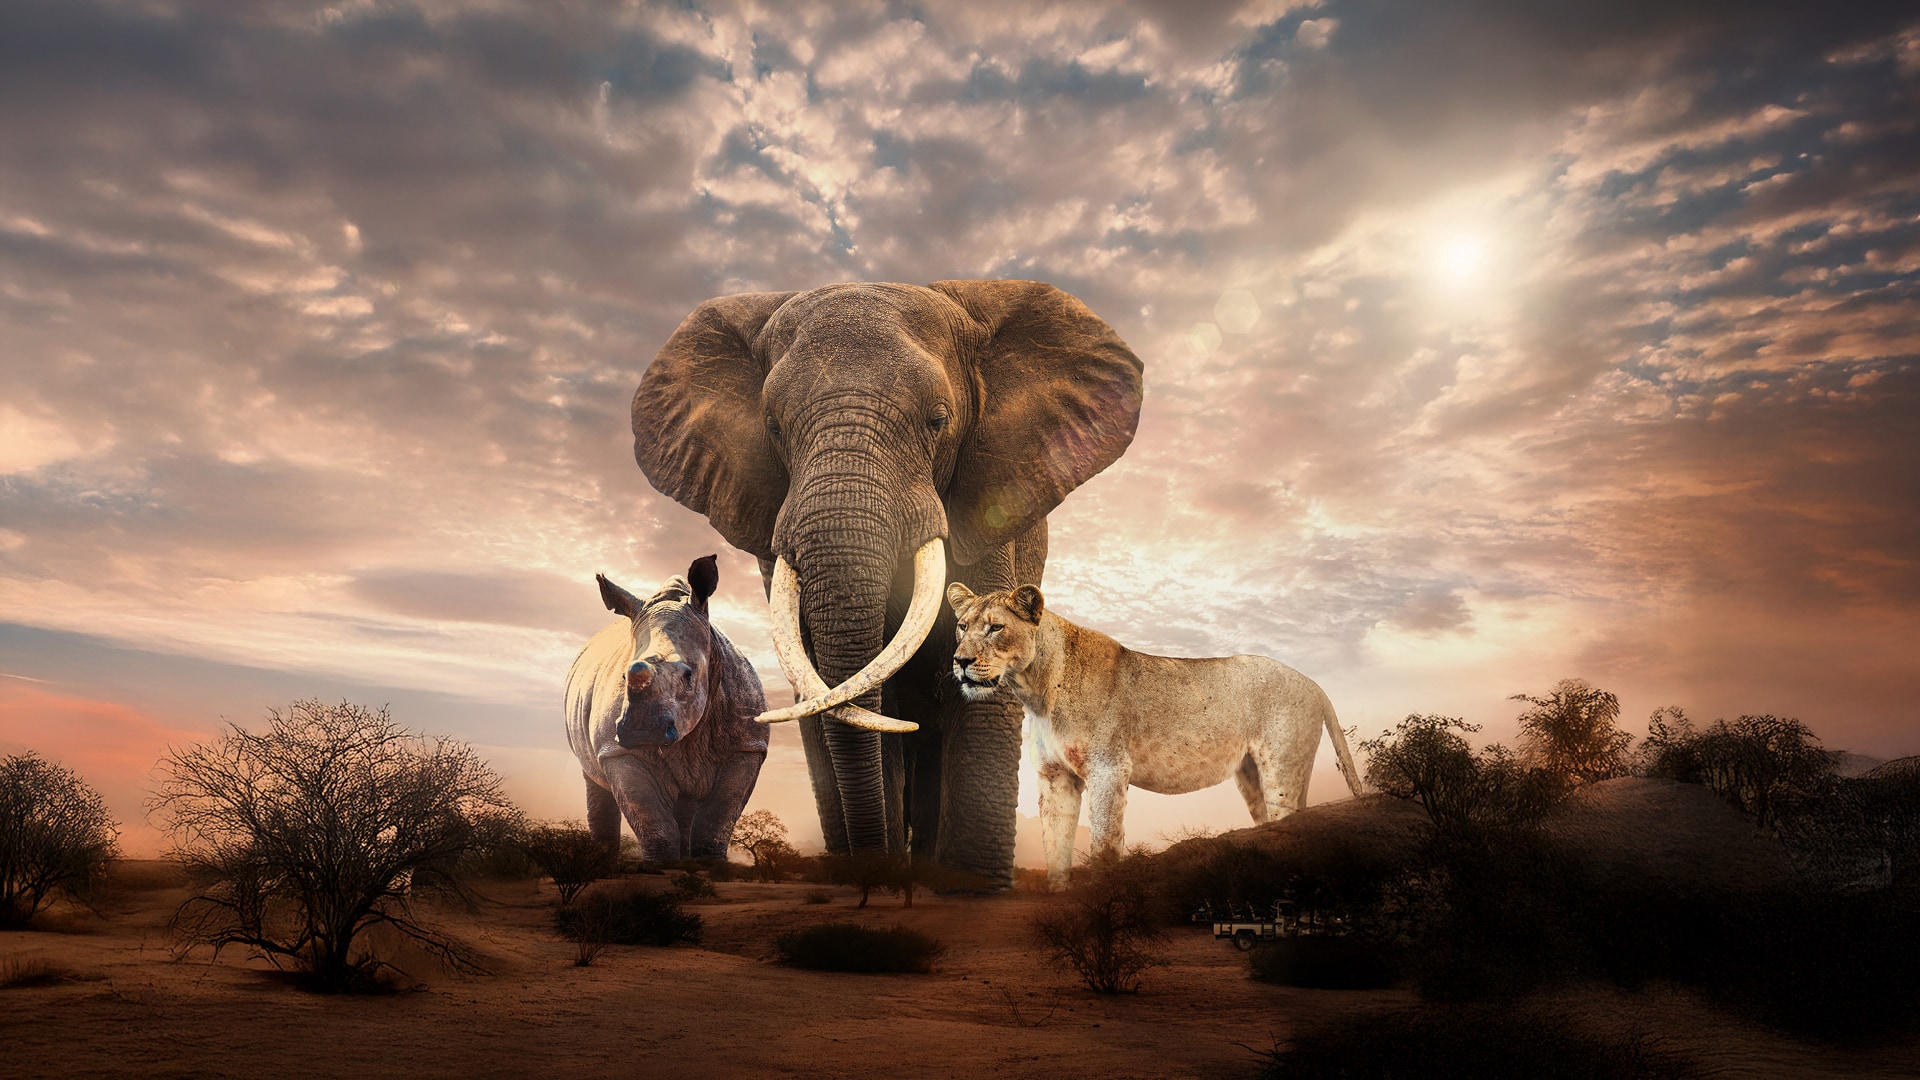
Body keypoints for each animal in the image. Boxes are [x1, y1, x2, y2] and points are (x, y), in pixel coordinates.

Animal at [631, 280, 1143, 885]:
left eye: (938, 421)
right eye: (773, 427)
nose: (876, 869)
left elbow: (980, 691)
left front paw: (971, 891)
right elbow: (837, 690)